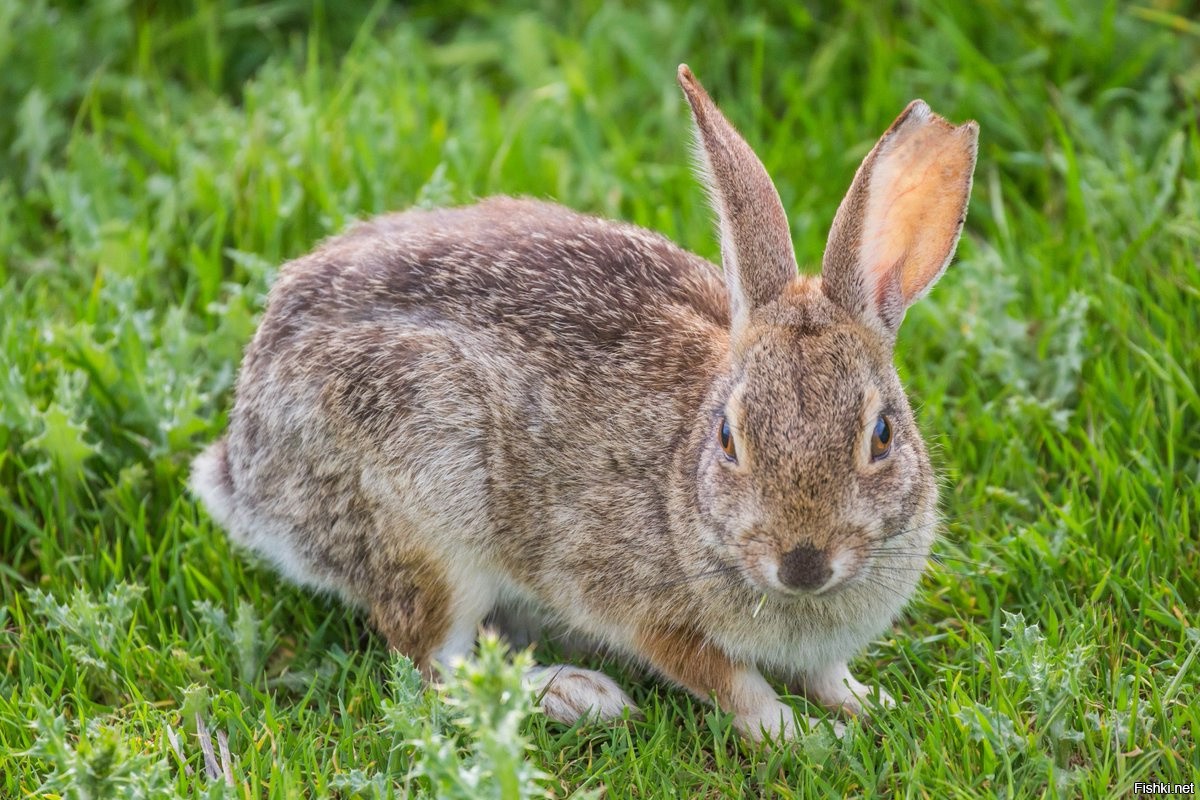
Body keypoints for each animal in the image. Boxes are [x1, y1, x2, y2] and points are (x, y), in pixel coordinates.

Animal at [192, 64, 979, 743]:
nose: (804, 562)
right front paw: (802, 738)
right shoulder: (651, 613)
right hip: (429, 515)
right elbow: (733, 684)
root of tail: (245, 465)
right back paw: (577, 694)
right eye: (729, 439)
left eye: (882, 434)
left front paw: (868, 705)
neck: (681, 485)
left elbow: (826, 674)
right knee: (433, 665)